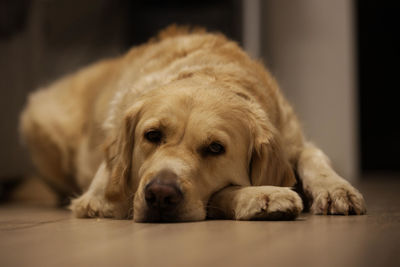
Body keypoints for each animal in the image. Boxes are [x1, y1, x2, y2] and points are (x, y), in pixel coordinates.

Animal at [18, 25, 366, 222]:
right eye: (152, 135)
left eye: (215, 148)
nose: (160, 194)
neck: (210, 71)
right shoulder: (102, 197)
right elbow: (220, 193)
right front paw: (263, 196)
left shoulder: (292, 137)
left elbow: (314, 157)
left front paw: (336, 189)